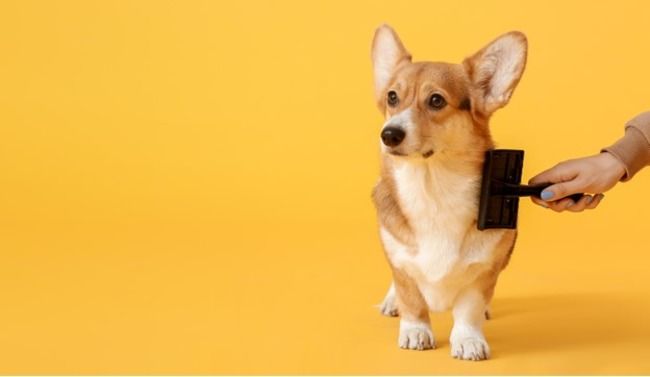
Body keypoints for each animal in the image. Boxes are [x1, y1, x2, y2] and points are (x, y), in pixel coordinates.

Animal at [368, 25, 524, 360]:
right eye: (392, 97)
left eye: (436, 100)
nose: (389, 134)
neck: (432, 187)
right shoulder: (400, 262)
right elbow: (411, 298)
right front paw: (415, 332)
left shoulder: (484, 271)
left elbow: (469, 308)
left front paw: (468, 339)